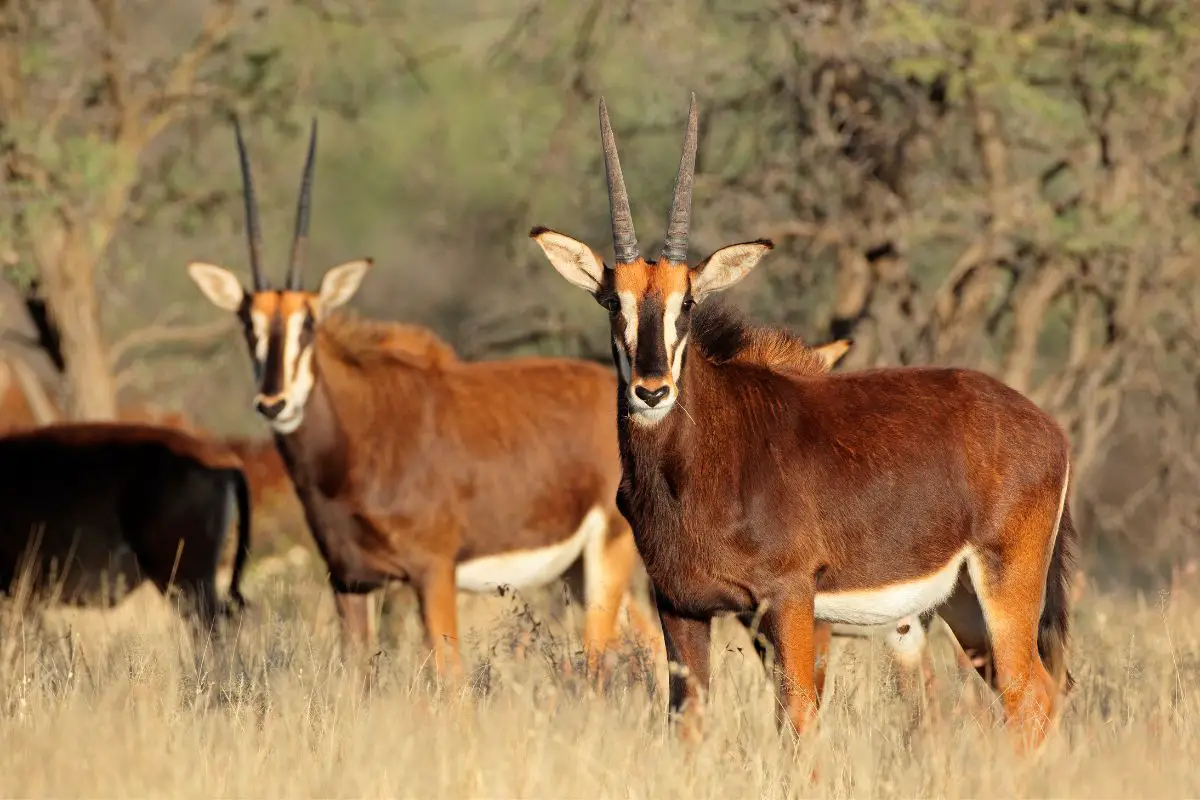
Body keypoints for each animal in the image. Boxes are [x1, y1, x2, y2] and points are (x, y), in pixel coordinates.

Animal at [186, 112, 662, 676]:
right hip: (576, 570)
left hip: (606, 554)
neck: (357, 438)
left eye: (309, 324)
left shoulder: (433, 573)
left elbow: (448, 676)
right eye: (248, 326)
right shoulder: (350, 581)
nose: (274, 404)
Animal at [532, 94, 1080, 753]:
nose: (652, 390)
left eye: (688, 302)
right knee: (1030, 697)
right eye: (614, 301)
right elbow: (686, 723)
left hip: (1005, 585)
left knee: (1030, 697)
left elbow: (797, 719)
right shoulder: (681, 606)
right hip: (964, 604)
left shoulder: (789, 600)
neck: (700, 460)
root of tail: (1047, 428)